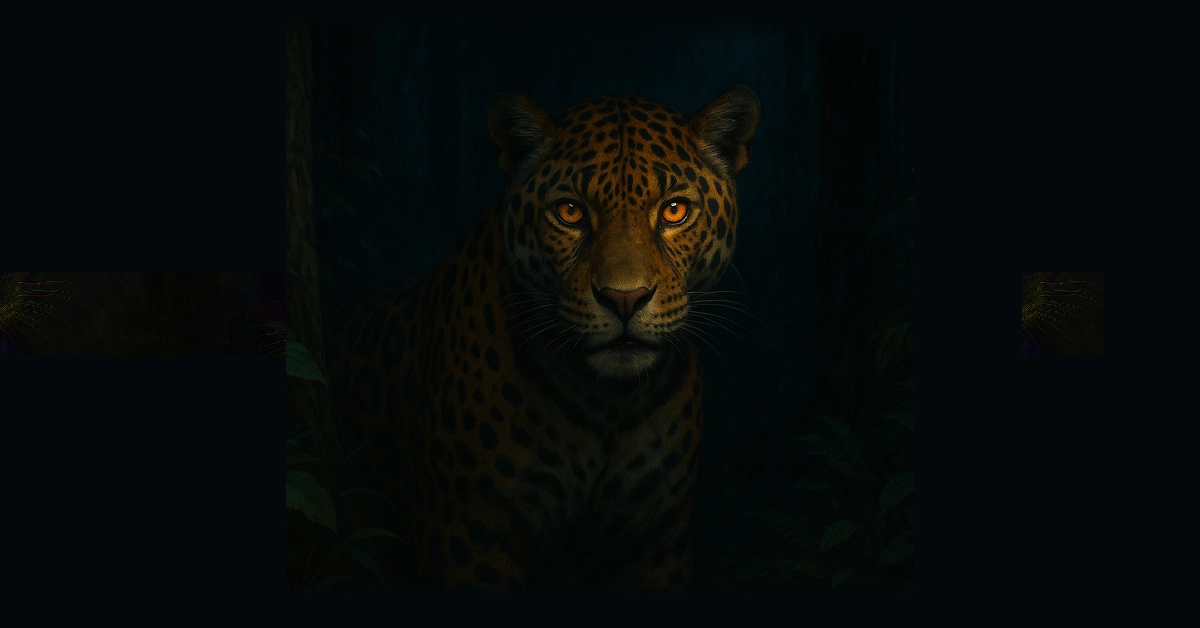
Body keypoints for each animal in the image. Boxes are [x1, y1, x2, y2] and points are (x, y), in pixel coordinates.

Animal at [325, 87, 759, 592]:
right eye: (570, 212)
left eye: (674, 210)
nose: (624, 298)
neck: (606, 406)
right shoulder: (469, 531)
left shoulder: (657, 537)